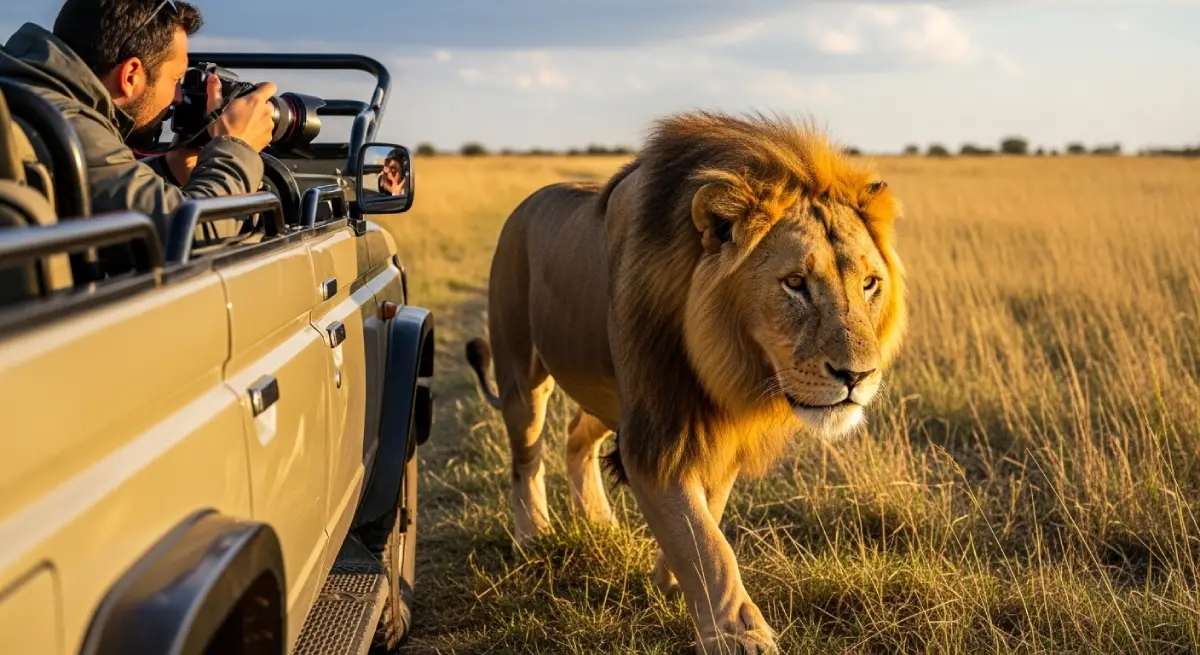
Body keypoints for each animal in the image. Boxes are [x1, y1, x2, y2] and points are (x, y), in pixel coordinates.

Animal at [465, 110, 907, 653]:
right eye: (795, 284)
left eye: (869, 284)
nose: (857, 376)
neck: (729, 365)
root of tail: (524, 206)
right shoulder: (655, 432)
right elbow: (706, 542)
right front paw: (741, 635)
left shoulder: (715, 431)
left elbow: (706, 515)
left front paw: (671, 579)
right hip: (523, 375)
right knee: (526, 458)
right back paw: (533, 535)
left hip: (608, 394)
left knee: (575, 437)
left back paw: (598, 520)